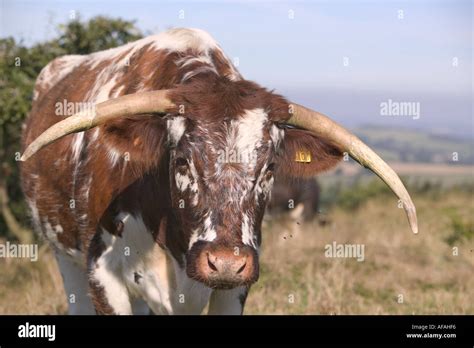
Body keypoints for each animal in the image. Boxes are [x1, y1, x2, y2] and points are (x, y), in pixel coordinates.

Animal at [20, 27, 416, 316]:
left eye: (270, 168)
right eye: (182, 161)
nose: (225, 263)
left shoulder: (236, 286)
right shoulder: (104, 277)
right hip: (65, 257)